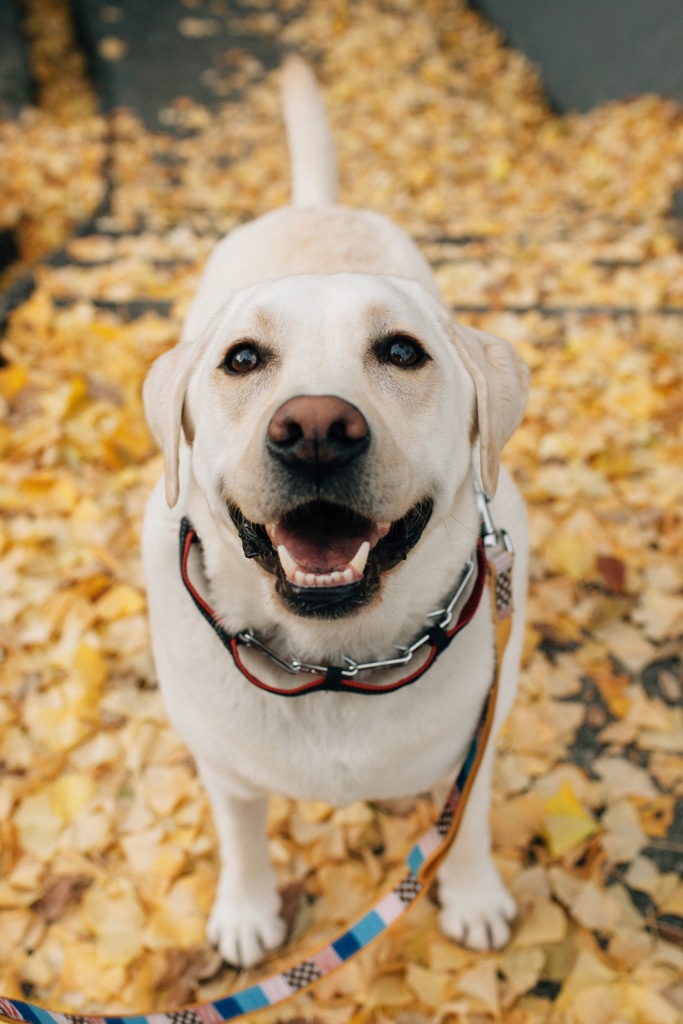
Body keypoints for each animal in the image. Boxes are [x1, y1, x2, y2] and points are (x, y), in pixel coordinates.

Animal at [143, 56, 528, 966]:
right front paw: (247, 909)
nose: (315, 430)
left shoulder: (480, 741)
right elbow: (240, 836)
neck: (332, 665)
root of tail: (313, 204)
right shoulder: (222, 768)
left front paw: (473, 894)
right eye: (241, 359)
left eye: (402, 351)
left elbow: (467, 822)